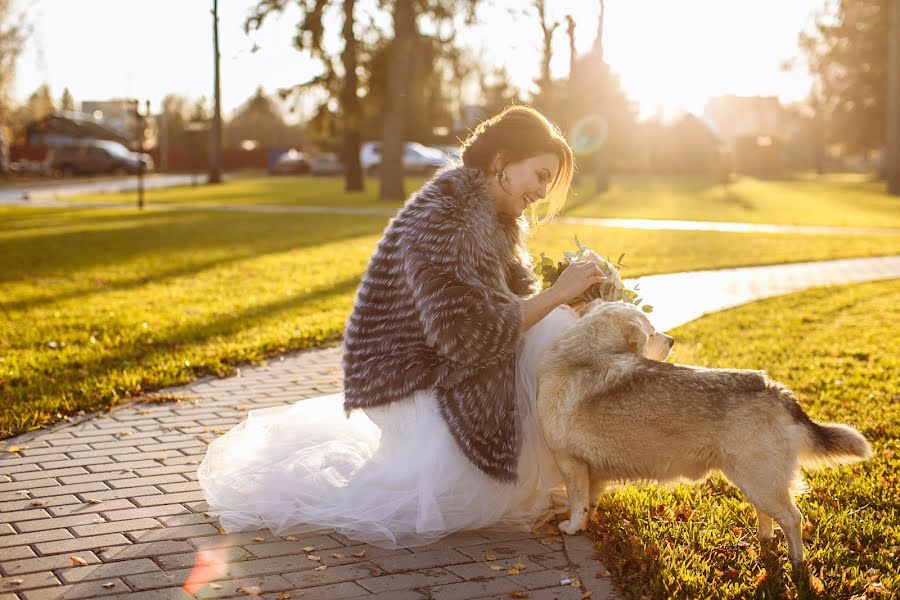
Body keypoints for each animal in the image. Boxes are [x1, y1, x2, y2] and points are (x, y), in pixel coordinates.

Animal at [536, 300, 872, 564]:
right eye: (652, 332)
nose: (672, 340)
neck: (583, 354)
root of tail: (773, 388)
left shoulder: (570, 464)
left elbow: (577, 502)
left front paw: (574, 527)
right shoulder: (591, 470)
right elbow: (589, 501)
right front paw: (587, 523)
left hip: (760, 480)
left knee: (792, 518)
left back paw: (797, 562)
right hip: (752, 481)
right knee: (767, 514)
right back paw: (763, 540)